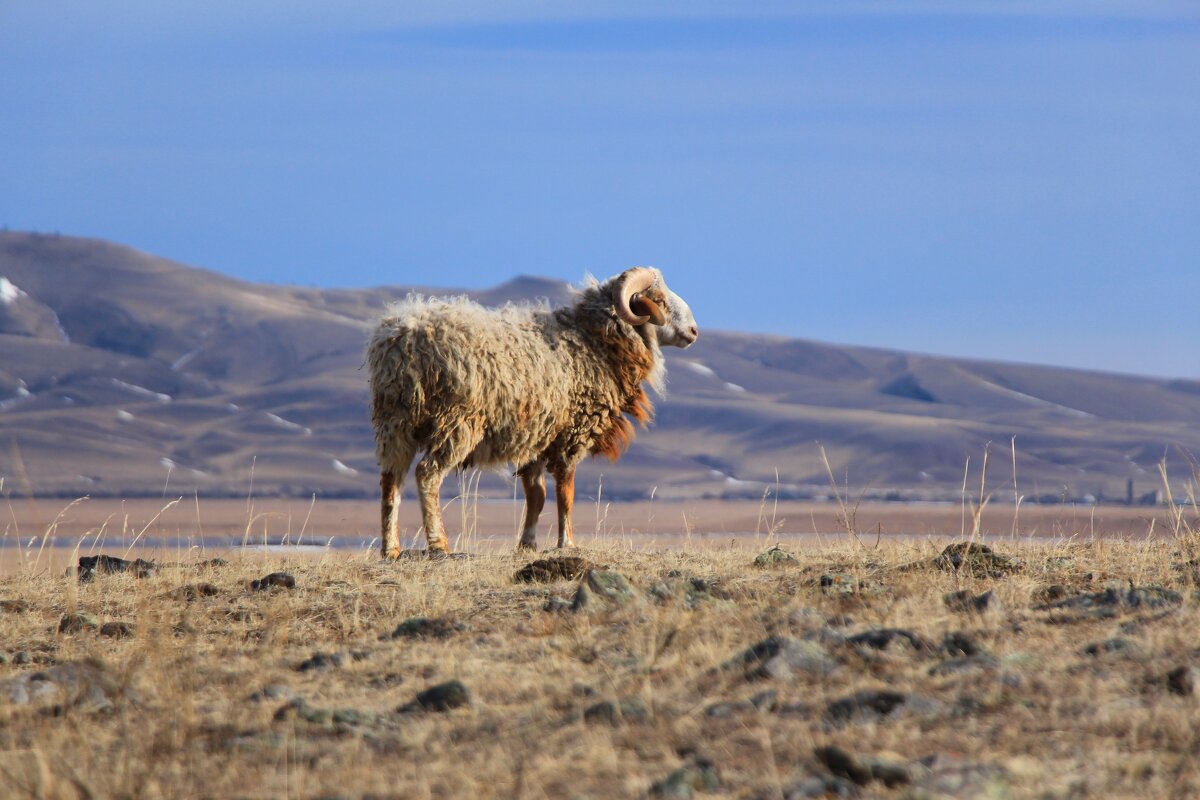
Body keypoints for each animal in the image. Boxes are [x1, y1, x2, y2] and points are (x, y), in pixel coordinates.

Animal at [369, 268, 700, 556]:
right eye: (658, 299)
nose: (694, 331)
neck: (593, 343)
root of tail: (404, 338)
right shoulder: (571, 435)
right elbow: (565, 494)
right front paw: (567, 543)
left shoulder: (537, 438)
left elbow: (536, 496)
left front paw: (527, 544)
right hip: (456, 422)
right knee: (427, 475)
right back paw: (439, 545)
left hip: (395, 421)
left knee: (391, 481)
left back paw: (390, 549)